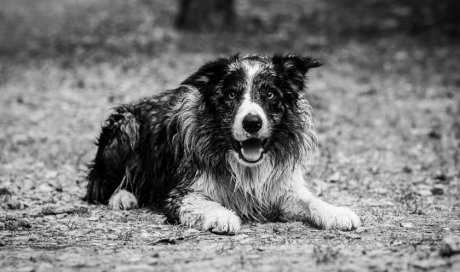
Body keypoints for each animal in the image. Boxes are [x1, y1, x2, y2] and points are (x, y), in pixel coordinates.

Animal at [85, 54, 360, 235]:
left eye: (270, 93)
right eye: (231, 94)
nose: (252, 122)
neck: (245, 166)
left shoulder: (281, 189)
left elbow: (311, 200)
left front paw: (336, 212)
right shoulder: (179, 193)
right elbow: (203, 203)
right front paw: (222, 216)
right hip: (126, 126)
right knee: (98, 186)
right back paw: (122, 196)